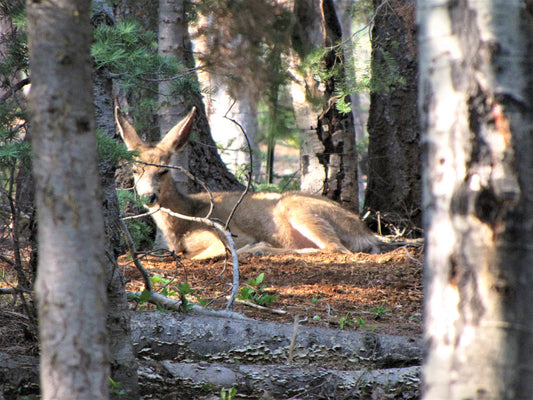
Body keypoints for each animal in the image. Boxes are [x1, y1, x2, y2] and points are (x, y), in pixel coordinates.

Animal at [116, 106, 382, 260]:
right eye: (136, 170)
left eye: (163, 171)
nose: (149, 196)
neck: (182, 219)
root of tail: (366, 233)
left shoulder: (223, 231)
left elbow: (197, 256)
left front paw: (249, 248)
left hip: (298, 208)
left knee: (336, 248)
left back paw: (260, 249)